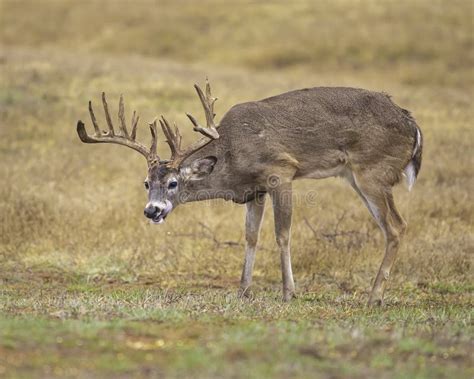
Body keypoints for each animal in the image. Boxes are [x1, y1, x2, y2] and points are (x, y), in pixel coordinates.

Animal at [76, 79, 424, 306]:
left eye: (174, 183)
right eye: (147, 183)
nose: (152, 210)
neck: (232, 158)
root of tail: (412, 122)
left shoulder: (281, 171)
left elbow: (282, 234)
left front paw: (288, 292)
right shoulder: (254, 191)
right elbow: (251, 236)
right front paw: (243, 291)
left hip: (372, 170)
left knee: (397, 226)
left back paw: (374, 297)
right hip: (356, 175)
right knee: (394, 226)